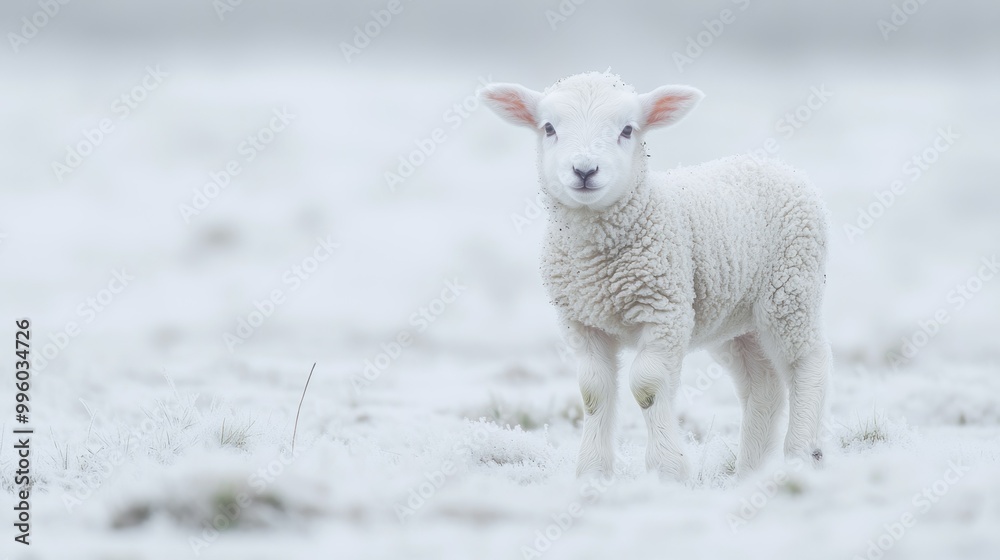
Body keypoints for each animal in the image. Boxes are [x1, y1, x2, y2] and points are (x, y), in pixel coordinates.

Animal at [479, 71, 831, 481]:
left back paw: (800, 455)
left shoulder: (664, 311)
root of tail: (780, 167)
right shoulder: (582, 321)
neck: (598, 263)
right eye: (548, 128)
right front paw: (593, 471)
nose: (584, 171)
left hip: (790, 288)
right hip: (735, 318)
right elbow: (593, 391)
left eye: (627, 130)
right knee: (764, 385)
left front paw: (668, 469)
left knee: (807, 361)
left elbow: (647, 385)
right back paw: (748, 473)